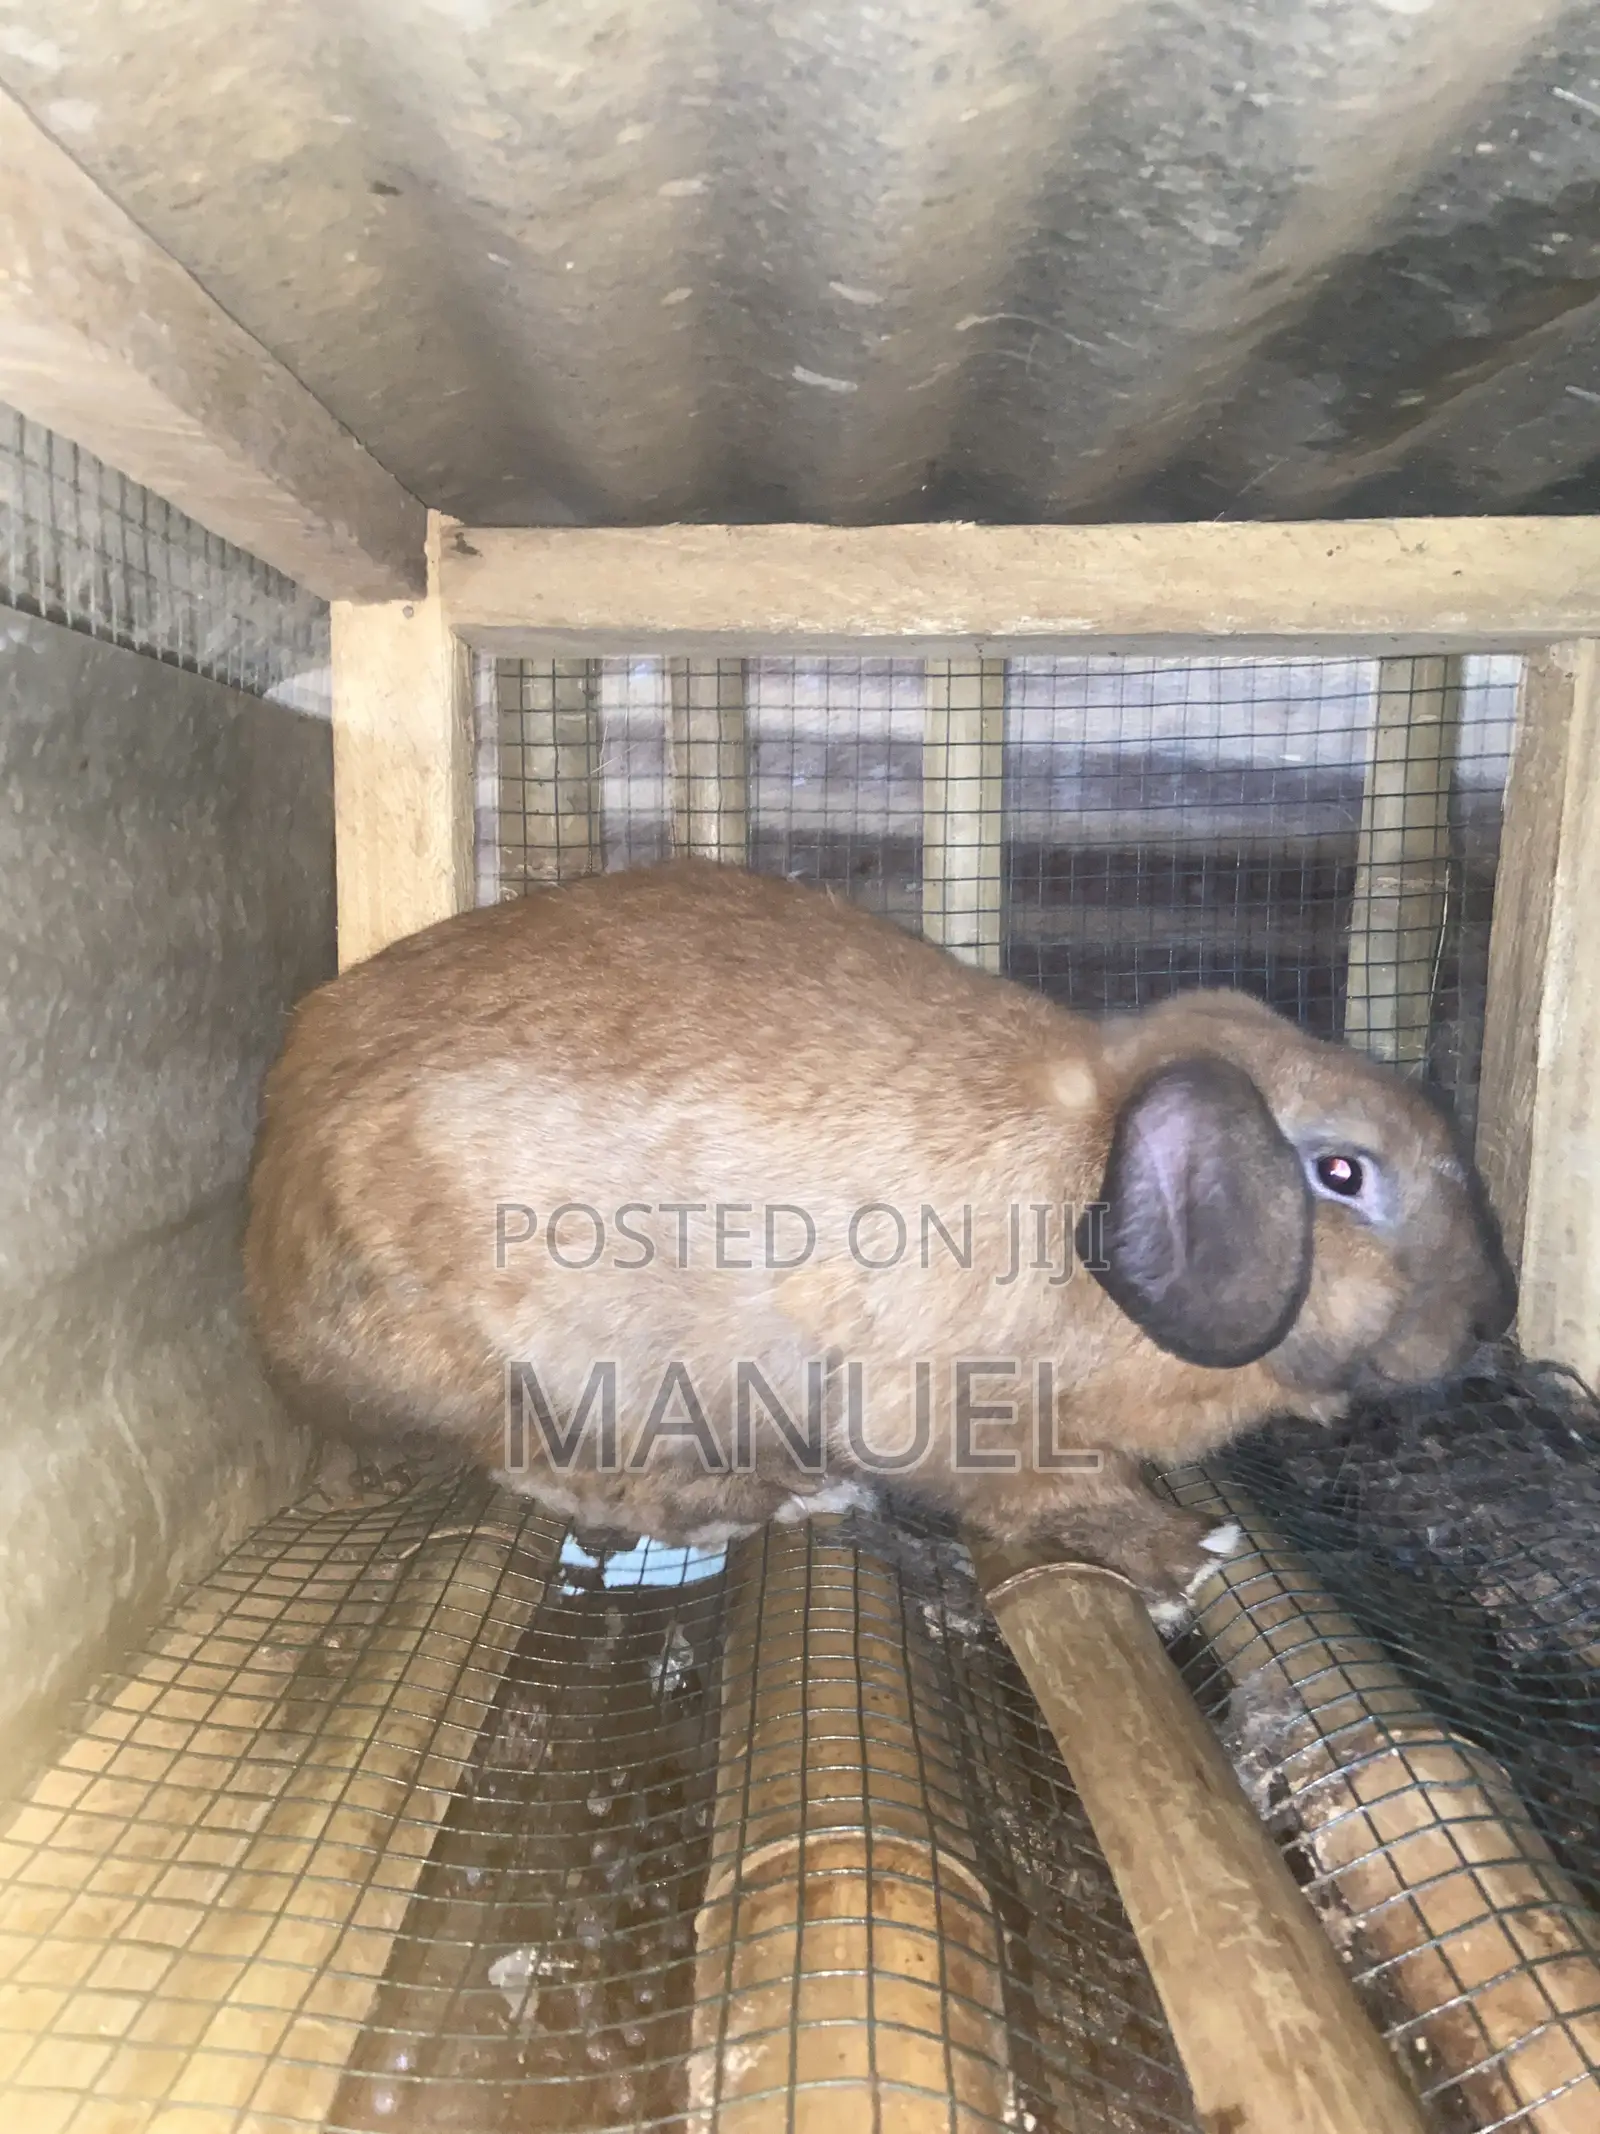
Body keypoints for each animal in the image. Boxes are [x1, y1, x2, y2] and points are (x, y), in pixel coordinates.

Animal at [242, 857, 1515, 1622]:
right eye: (1342, 1173)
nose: (1490, 1317)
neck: (1078, 1181)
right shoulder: (951, 1407)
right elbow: (1047, 1487)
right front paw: (1175, 1556)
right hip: (533, 1367)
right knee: (538, 1465)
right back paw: (760, 1493)